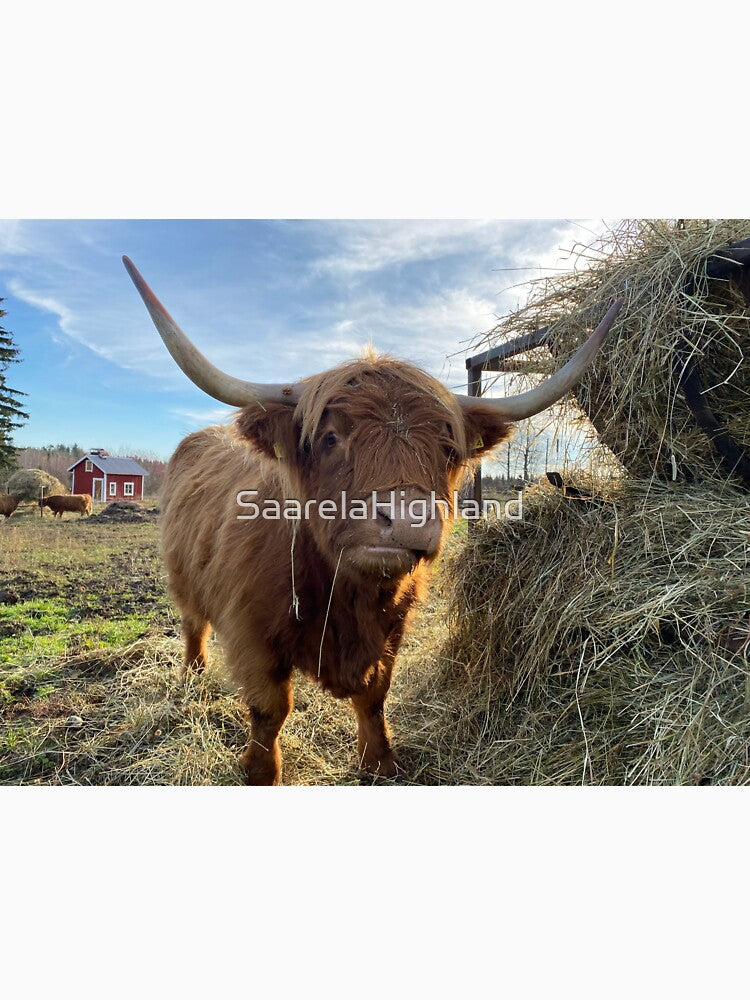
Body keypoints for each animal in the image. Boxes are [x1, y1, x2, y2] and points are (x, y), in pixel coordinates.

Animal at [124, 255, 622, 785]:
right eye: (330, 438)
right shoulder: (252, 635)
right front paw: (261, 772)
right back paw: (193, 677)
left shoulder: (393, 627)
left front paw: (380, 761)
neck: (346, 595)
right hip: (183, 579)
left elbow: (374, 695)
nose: (407, 518)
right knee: (192, 625)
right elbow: (269, 710)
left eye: (448, 450)